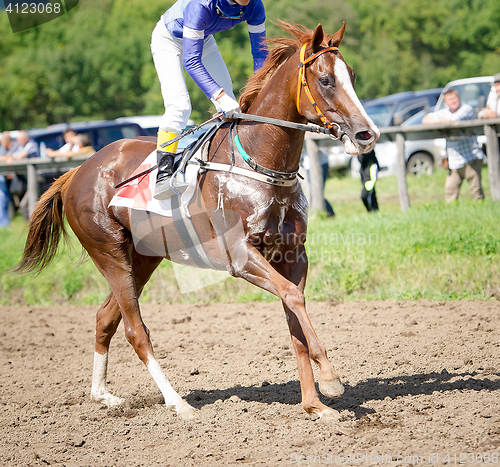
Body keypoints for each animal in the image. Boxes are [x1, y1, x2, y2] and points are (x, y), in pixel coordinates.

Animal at [16, 21, 378, 420]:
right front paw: (330, 379)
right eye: (326, 80)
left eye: (352, 76)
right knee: (135, 330)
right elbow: (292, 298)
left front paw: (314, 404)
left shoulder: (293, 254)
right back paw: (177, 402)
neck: (257, 162)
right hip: (109, 252)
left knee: (105, 318)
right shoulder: (240, 256)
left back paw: (103, 395)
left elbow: (294, 312)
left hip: (142, 258)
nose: (367, 134)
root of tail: (76, 172)